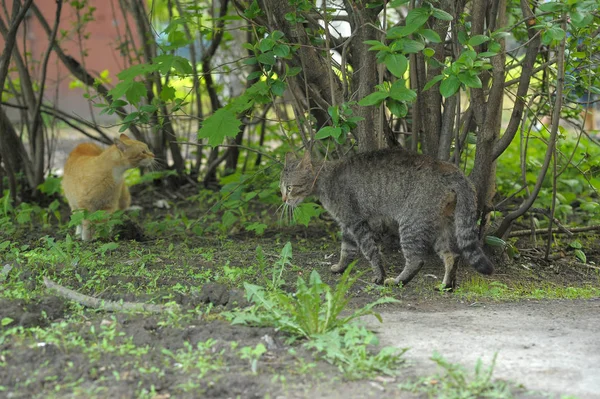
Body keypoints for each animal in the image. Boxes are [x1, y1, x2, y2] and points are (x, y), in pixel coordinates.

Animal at [280, 148, 492, 290]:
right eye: (281, 188)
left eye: (289, 188)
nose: (283, 198)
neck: (325, 178)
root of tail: (450, 168)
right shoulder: (347, 226)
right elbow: (346, 250)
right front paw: (340, 268)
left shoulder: (355, 222)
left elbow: (370, 251)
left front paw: (379, 276)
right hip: (442, 226)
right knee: (452, 255)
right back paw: (446, 286)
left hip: (411, 224)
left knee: (417, 260)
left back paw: (398, 281)